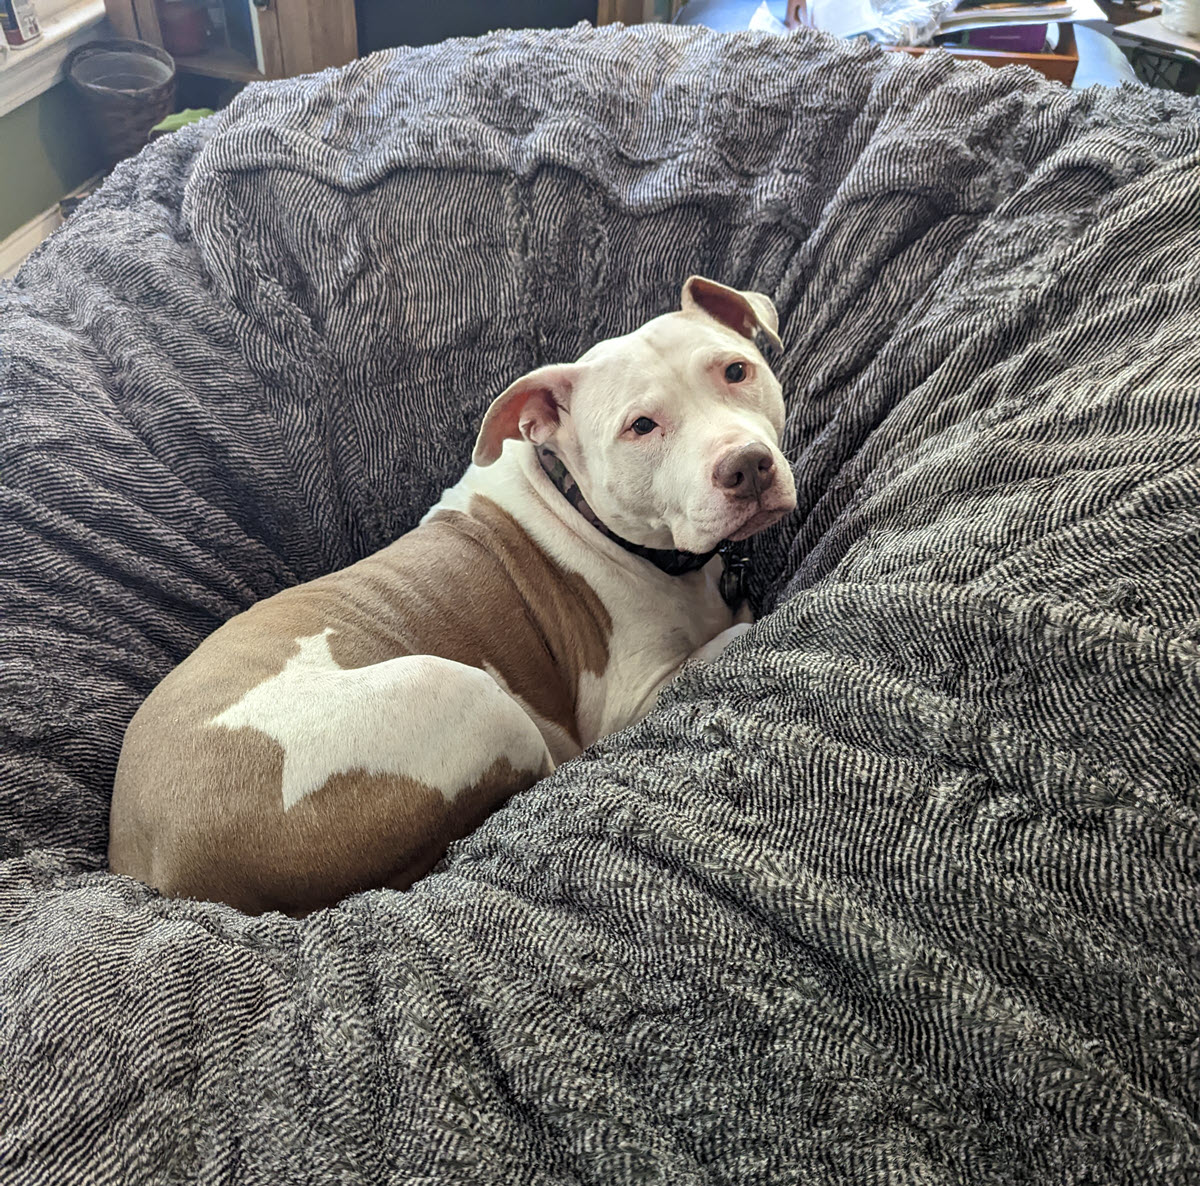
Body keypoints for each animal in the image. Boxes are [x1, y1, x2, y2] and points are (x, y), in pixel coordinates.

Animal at [110, 278, 796, 917]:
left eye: (736, 371)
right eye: (641, 427)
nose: (747, 465)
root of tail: (163, 870)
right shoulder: (630, 698)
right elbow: (732, 635)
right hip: (462, 692)